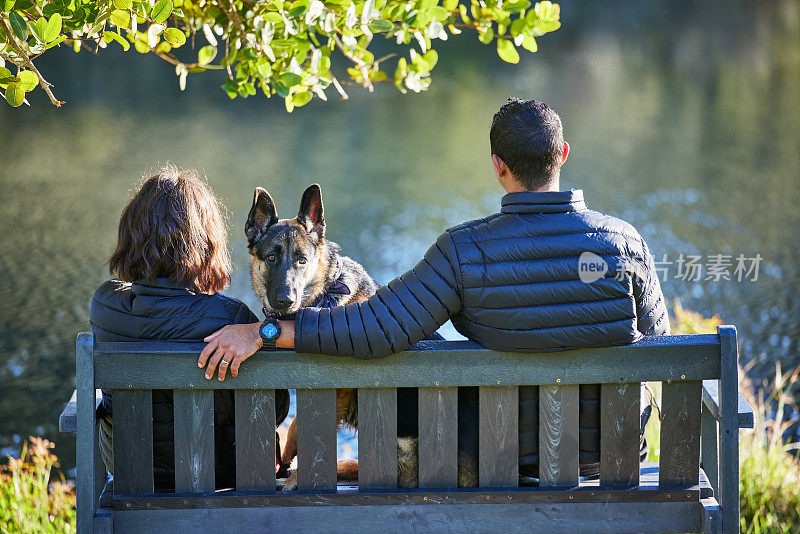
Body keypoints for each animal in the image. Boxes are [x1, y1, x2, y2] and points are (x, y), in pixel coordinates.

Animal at [244, 186, 478, 492]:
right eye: (271, 258)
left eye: (302, 260)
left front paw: (294, 477)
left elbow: (307, 432)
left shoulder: (336, 393)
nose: (286, 300)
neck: (326, 291)